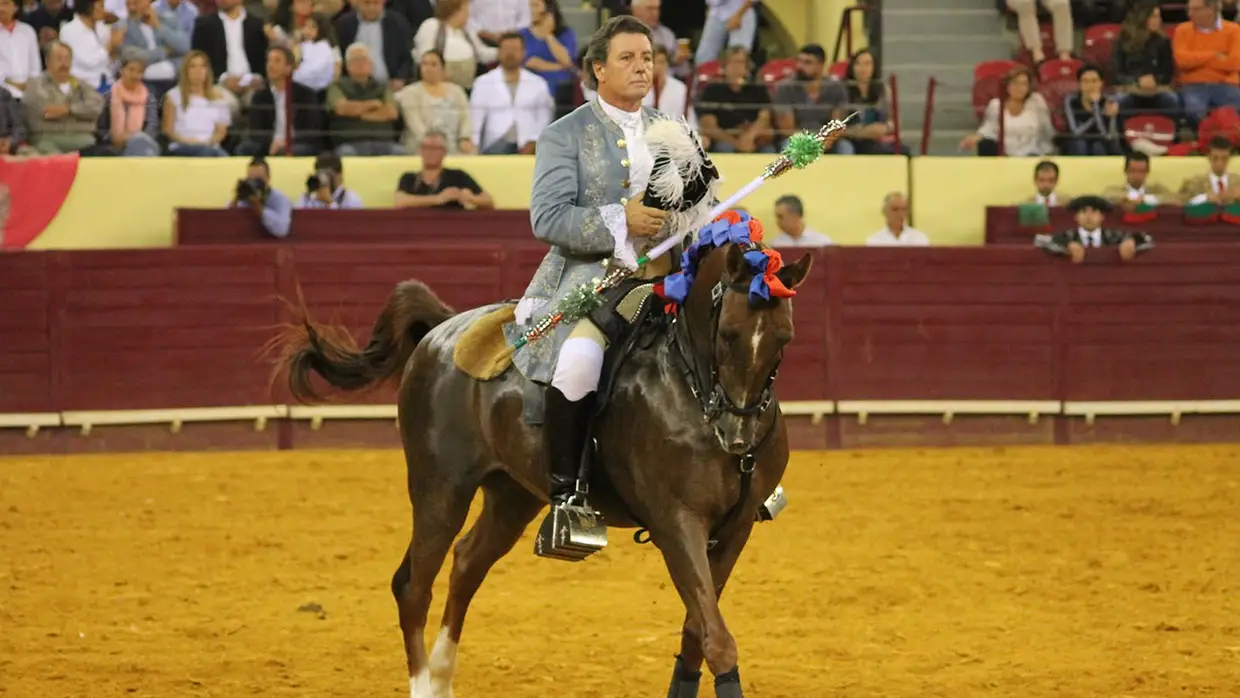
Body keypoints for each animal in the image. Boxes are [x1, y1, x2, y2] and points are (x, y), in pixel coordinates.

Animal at [274, 230, 813, 698]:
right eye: (730, 334)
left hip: (512, 494)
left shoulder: (734, 530)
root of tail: (445, 330)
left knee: (466, 563)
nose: (738, 437)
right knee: (413, 585)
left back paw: (444, 677)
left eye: (785, 338)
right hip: (439, 489)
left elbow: (696, 632)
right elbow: (716, 639)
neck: (688, 384)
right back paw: (425, 685)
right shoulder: (676, 523)